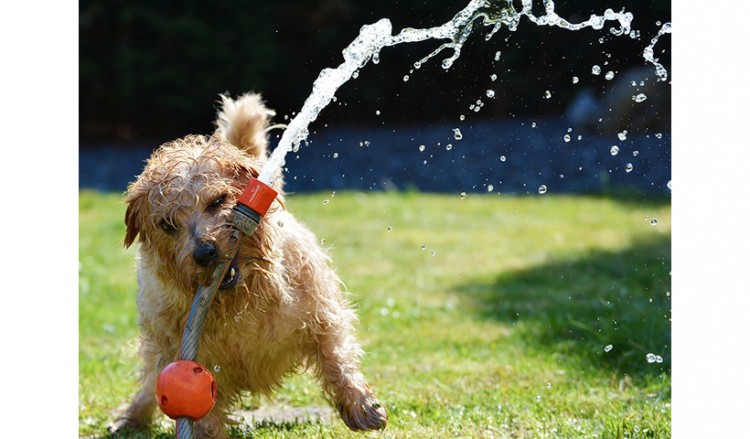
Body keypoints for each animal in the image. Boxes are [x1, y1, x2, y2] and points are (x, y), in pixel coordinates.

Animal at [111, 93, 388, 439]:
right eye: (167, 225)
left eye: (217, 201)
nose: (205, 252)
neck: (240, 302)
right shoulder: (187, 355)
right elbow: (204, 411)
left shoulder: (322, 314)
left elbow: (336, 357)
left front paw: (361, 406)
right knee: (150, 382)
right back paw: (131, 417)